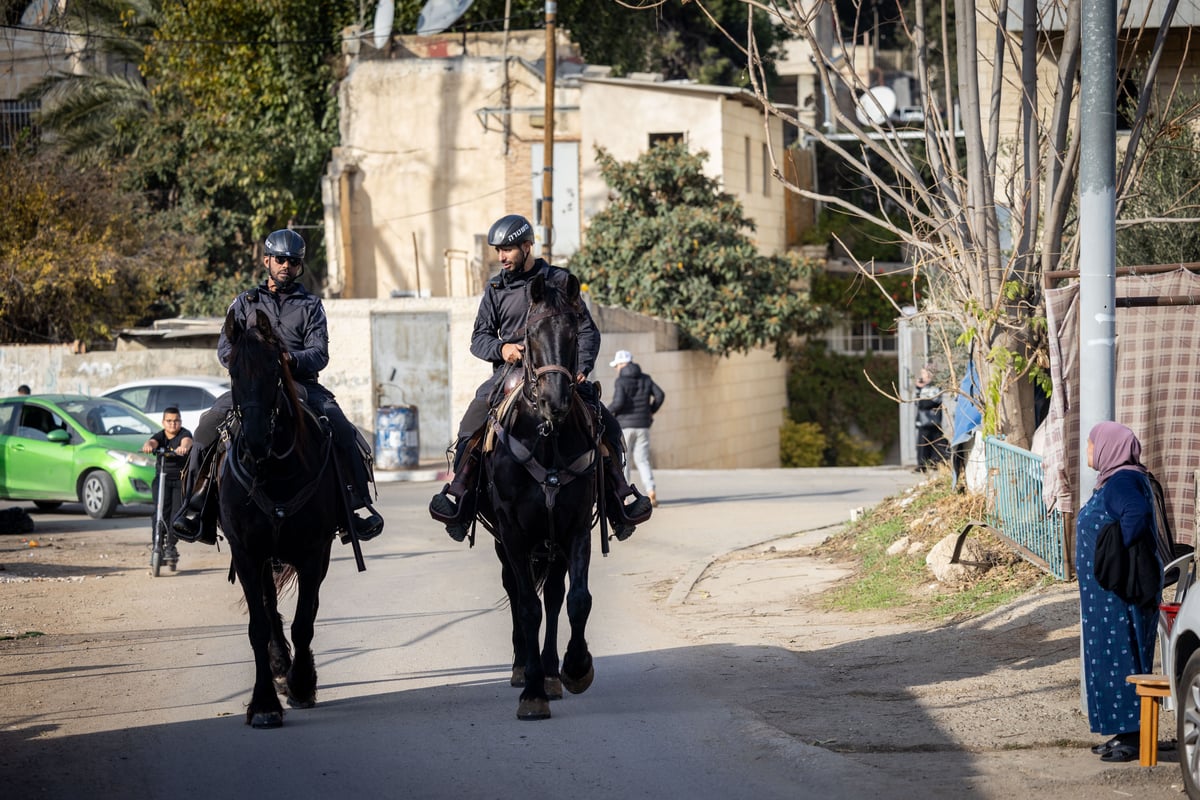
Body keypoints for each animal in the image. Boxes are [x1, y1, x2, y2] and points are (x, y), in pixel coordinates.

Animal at [218, 309, 343, 729]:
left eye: (275, 369)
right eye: (233, 371)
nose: (256, 441)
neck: (274, 471)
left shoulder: (313, 553)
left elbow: (305, 620)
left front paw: (302, 684)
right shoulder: (246, 553)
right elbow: (258, 625)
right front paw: (264, 703)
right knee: (269, 609)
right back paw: (277, 664)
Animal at [482, 272, 600, 724]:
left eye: (573, 332)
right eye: (529, 335)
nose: (556, 400)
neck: (545, 436)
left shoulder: (575, 528)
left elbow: (576, 599)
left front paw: (575, 667)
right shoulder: (513, 533)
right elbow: (527, 607)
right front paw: (531, 693)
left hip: (551, 545)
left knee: (551, 596)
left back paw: (550, 671)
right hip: (506, 542)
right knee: (519, 595)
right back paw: (524, 669)